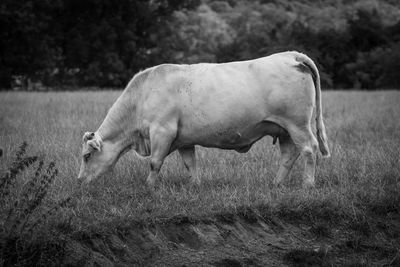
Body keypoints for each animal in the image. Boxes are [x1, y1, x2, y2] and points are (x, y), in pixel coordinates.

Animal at [76, 50, 330, 188]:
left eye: (87, 156)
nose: (79, 181)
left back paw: (307, 184)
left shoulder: (162, 131)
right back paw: (276, 183)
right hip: (283, 129)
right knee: (289, 155)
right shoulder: (183, 139)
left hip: (298, 124)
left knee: (309, 149)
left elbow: (155, 162)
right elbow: (190, 163)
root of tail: (290, 55)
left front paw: (148, 186)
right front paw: (195, 185)